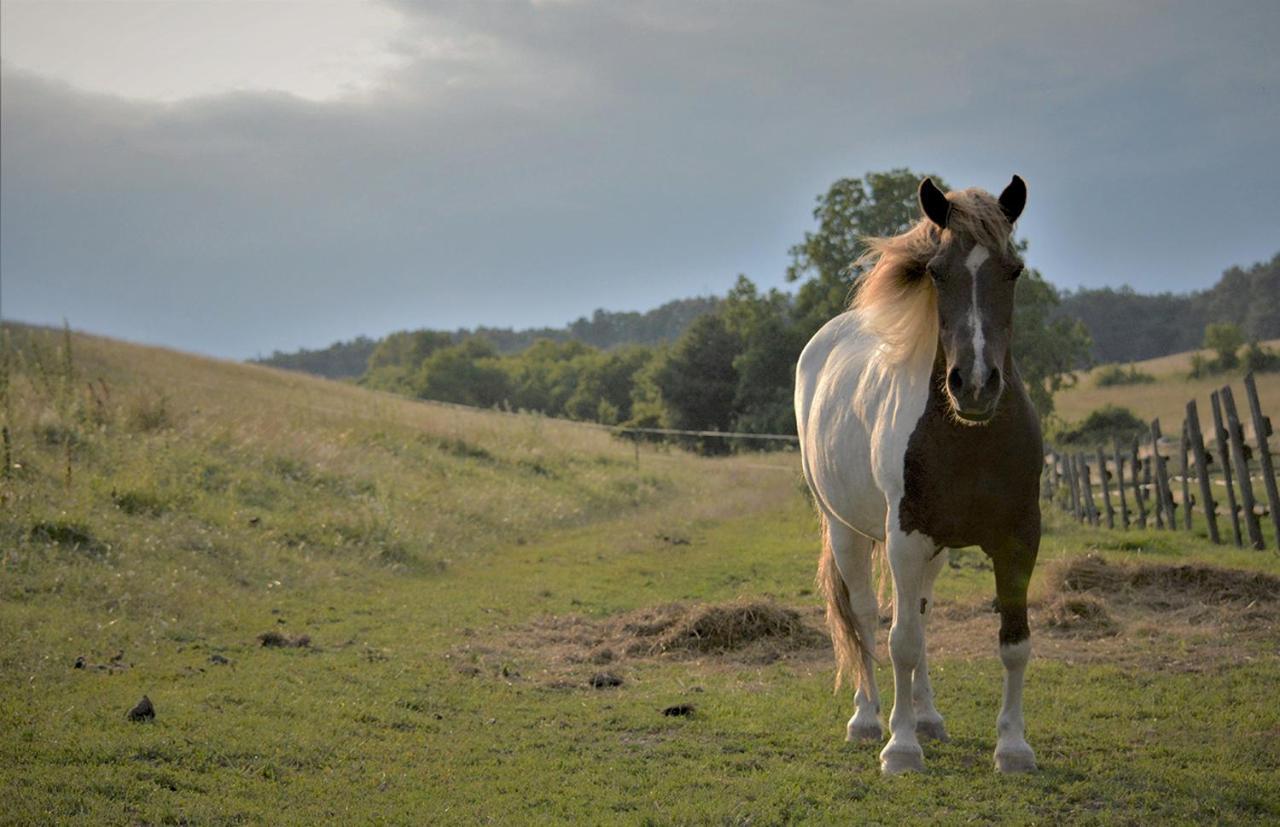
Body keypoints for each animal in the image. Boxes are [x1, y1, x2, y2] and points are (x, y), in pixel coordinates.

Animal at [793, 175, 1044, 778]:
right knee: (865, 617)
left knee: (922, 614)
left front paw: (1013, 748)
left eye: (1014, 270)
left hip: (935, 549)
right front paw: (901, 748)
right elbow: (900, 640)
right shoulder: (904, 537)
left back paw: (927, 717)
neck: (970, 438)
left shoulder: (1019, 538)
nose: (974, 384)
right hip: (849, 532)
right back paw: (868, 719)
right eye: (937, 272)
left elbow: (1014, 642)